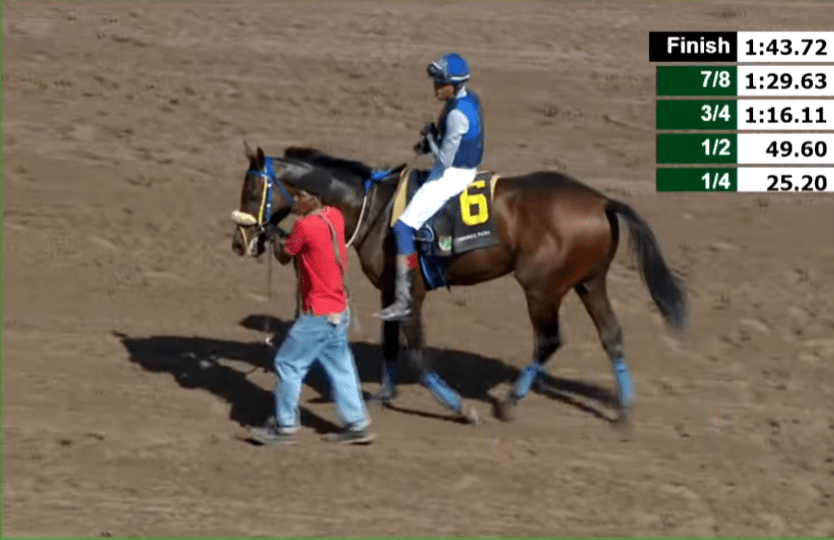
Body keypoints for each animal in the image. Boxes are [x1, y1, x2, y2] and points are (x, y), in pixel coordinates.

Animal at [230, 142, 688, 427]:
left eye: (252, 190)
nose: (239, 241)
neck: (376, 207)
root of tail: (601, 200)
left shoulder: (411, 292)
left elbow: (417, 353)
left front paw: (459, 408)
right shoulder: (389, 291)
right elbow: (390, 343)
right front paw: (382, 395)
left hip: (541, 288)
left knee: (548, 340)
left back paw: (509, 402)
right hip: (590, 283)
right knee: (611, 335)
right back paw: (625, 410)